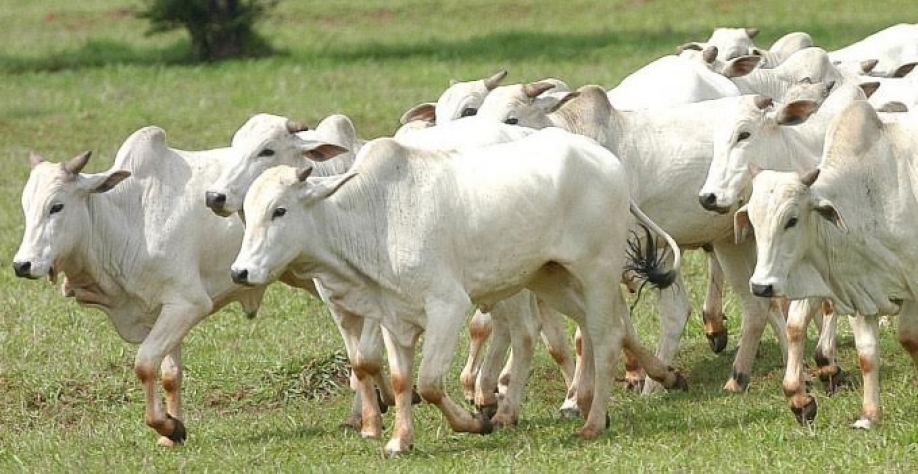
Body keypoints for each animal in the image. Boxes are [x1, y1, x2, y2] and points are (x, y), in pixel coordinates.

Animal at [13, 134, 266, 448]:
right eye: (26, 207)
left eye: (56, 206)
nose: (22, 265)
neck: (130, 222)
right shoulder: (162, 311)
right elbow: (170, 374)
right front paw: (171, 433)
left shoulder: (188, 304)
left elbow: (145, 365)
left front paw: (168, 426)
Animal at [232, 127, 688, 456]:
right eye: (247, 215)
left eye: (279, 210)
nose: (240, 271)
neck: (375, 217)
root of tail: (606, 159)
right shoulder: (391, 317)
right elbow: (401, 380)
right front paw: (399, 440)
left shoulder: (447, 307)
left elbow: (431, 382)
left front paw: (475, 422)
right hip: (550, 277)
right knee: (600, 329)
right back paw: (661, 377)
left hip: (596, 272)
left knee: (605, 336)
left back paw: (592, 422)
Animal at [736, 100, 918, 430]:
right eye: (753, 221)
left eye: (792, 219)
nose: (761, 285)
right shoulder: (860, 290)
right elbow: (867, 355)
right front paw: (869, 416)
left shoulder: (910, 282)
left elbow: (909, 337)